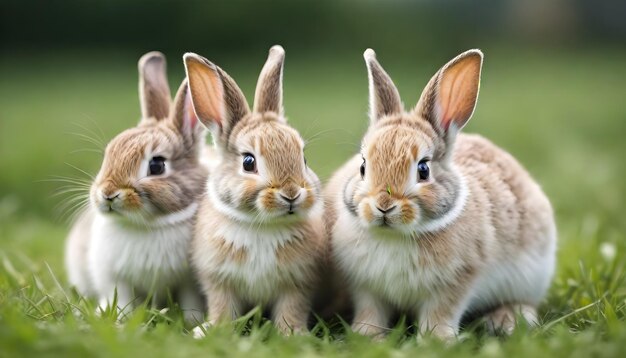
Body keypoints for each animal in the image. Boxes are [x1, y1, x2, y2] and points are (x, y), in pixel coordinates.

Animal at [65, 51, 207, 324]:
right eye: (108, 154)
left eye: (157, 165)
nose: (108, 194)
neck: (147, 224)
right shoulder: (114, 276)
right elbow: (120, 298)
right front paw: (114, 317)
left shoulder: (190, 282)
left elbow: (191, 301)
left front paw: (192, 321)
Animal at [183, 45, 324, 338]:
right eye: (249, 162)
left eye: (304, 159)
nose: (291, 193)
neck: (262, 225)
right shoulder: (219, 281)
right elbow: (222, 308)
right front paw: (212, 330)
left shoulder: (297, 284)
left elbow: (291, 310)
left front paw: (292, 335)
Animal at [324, 49, 552, 340]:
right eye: (363, 166)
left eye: (423, 169)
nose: (384, 205)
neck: (395, 236)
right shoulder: (365, 288)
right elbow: (371, 312)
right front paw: (366, 335)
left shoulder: (456, 282)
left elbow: (440, 313)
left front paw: (436, 339)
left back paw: (508, 320)